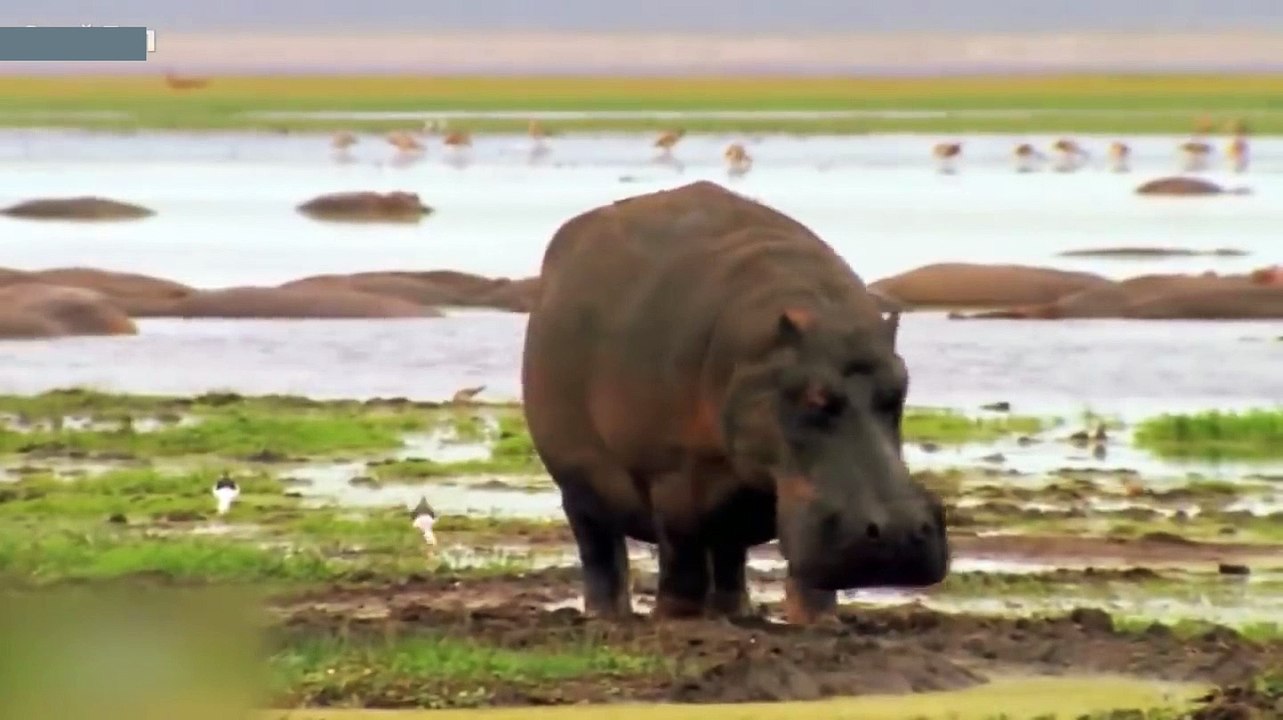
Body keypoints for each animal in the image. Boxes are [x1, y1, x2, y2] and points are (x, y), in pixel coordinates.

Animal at [521, 181, 949, 625]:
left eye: (899, 388)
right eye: (811, 397)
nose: (900, 533)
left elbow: (807, 576)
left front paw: (819, 622)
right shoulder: (673, 475)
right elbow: (682, 552)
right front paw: (675, 618)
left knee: (728, 554)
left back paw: (737, 613)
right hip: (578, 482)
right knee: (602, 551)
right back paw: (609, 616)